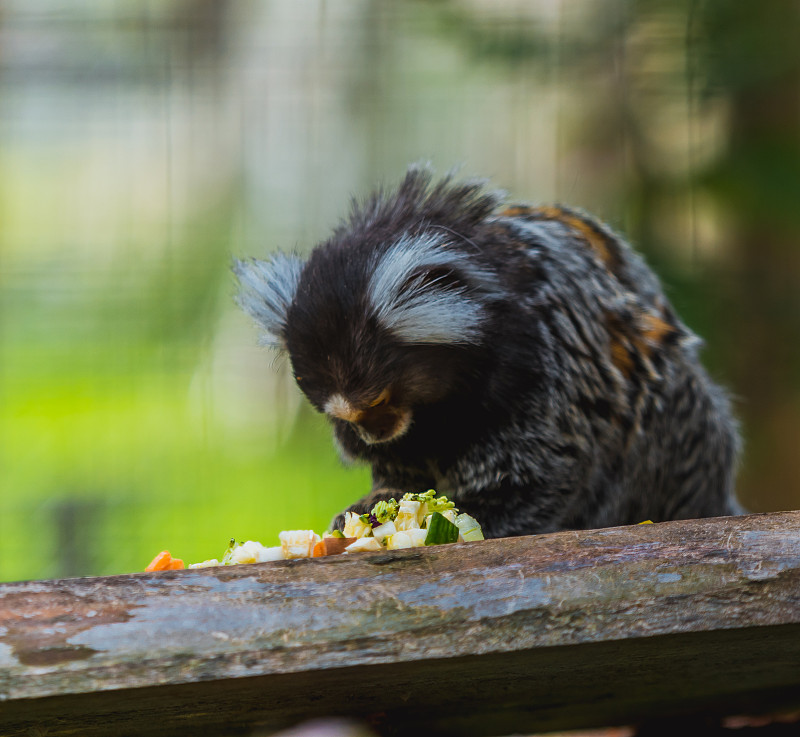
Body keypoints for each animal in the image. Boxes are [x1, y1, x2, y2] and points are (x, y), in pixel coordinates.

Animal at [234, 165, 740, 536]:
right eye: (342, 417)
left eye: (378, 400)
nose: (373, 435)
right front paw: (380, 502)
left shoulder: (545, 361)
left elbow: (543, 469)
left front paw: (472, 518)